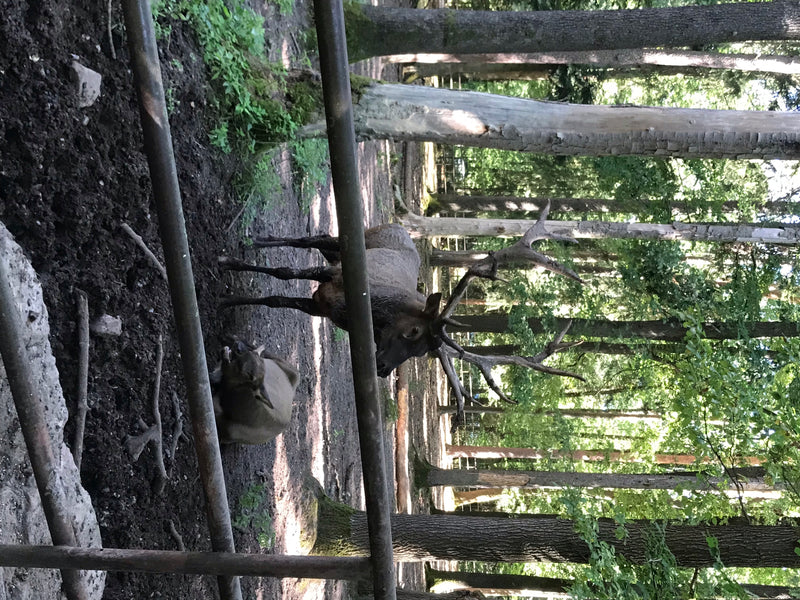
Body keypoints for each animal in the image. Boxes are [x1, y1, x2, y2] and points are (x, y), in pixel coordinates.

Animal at [218, 203, 584, 429]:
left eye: (422, 353)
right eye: (413, 333)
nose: (382, 369)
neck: (366, 309)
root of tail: (400, 224)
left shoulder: (321, 305)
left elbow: (276, 299)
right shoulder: (331, 279)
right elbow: (283, 273)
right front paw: (228, 279)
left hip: (337, 252)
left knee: (316, 240)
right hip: (348, 243)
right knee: (311, 237)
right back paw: (256, 240)